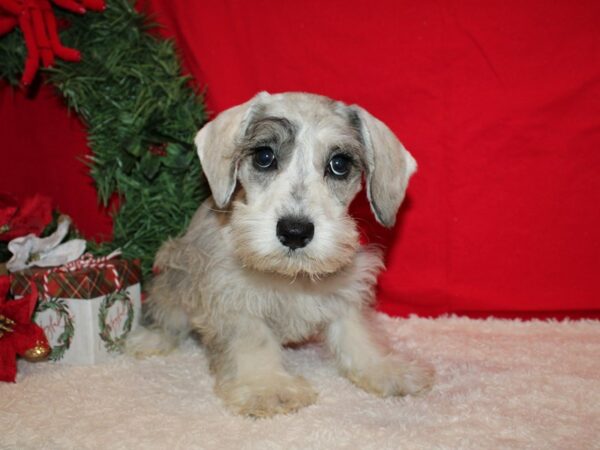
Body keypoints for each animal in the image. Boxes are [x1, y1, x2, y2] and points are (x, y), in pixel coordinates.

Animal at [126, 92, 434, 418]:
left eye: (339, 163)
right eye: (264, 156)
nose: (295, 231)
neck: (290, 276)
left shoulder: (345, 287)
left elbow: (356, 332)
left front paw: (386, 369)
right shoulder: (233, 296)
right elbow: (254, 340)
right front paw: (267, 387)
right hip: (177, 269)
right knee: (167, 312)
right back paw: (151, 338)